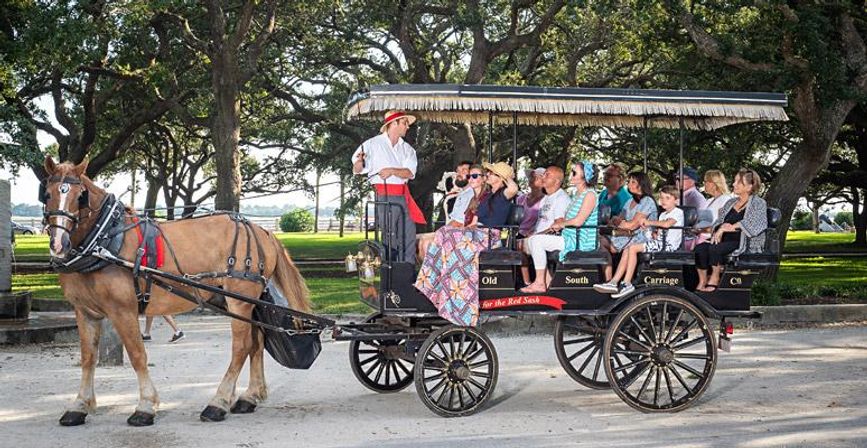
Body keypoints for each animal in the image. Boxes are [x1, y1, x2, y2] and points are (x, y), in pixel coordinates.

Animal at [41, 158, 312, 428]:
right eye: (47, 194)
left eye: (80, 197)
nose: (58, 243)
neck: (103, 239)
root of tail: (261, 230)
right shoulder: (85, 311)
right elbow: (88, 357)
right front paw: (79, 405)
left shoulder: (123, 310)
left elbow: (137, 354)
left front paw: (145, 406)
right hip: (246, 303)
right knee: (256, 343)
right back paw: (249, 397)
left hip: (240, 300)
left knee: (242, 347)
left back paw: (218, 402)